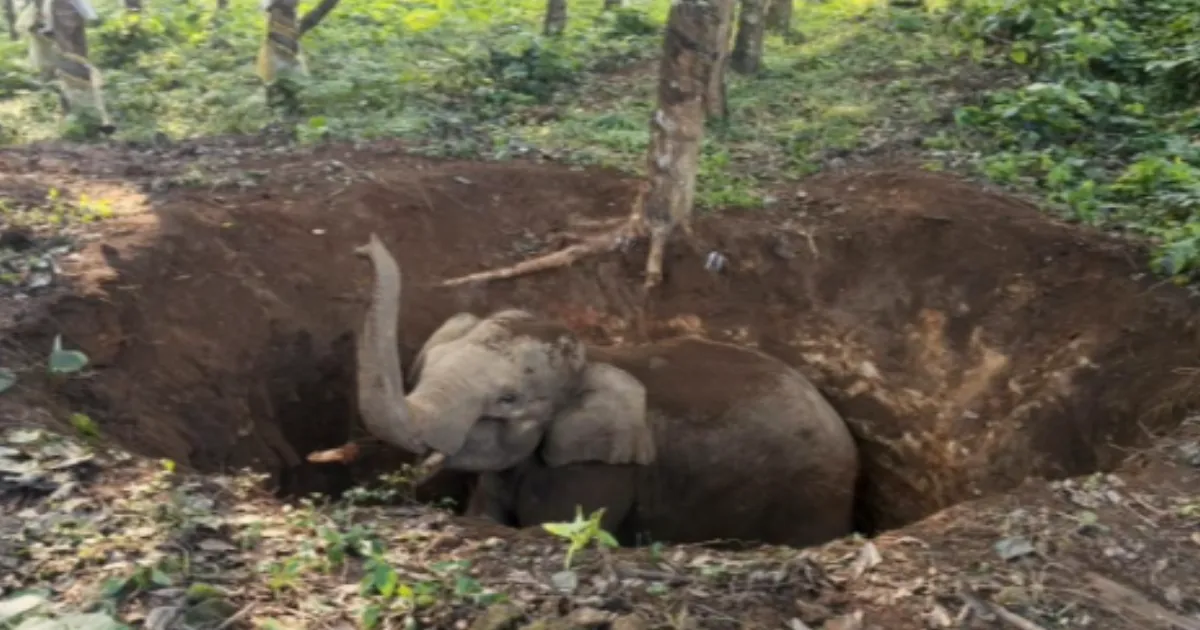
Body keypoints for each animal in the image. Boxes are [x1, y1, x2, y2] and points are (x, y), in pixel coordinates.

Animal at [352, 232, 861, 548]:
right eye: (426, 366)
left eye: (507, 401)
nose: (364, 247)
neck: (591, 357)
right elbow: (485, 515)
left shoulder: (597, 470)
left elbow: (555, 525)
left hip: (813, 494)